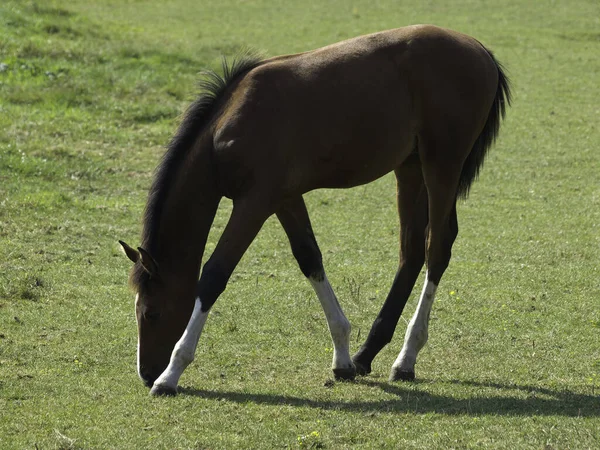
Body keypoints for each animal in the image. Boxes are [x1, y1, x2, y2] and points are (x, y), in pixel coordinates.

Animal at [118, 25, 510, 398]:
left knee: (436, 248)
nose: (145, 372)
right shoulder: (285, 199)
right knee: (411, 252)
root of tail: (480, 50)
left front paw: (171, 375)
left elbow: (214, 274)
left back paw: (406, 359)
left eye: (151, 312)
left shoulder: (254, 203)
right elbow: (310, 258)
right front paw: (342, 358)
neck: (231, 126)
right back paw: (367, 353)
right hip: (410, 168)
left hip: (442, 164)